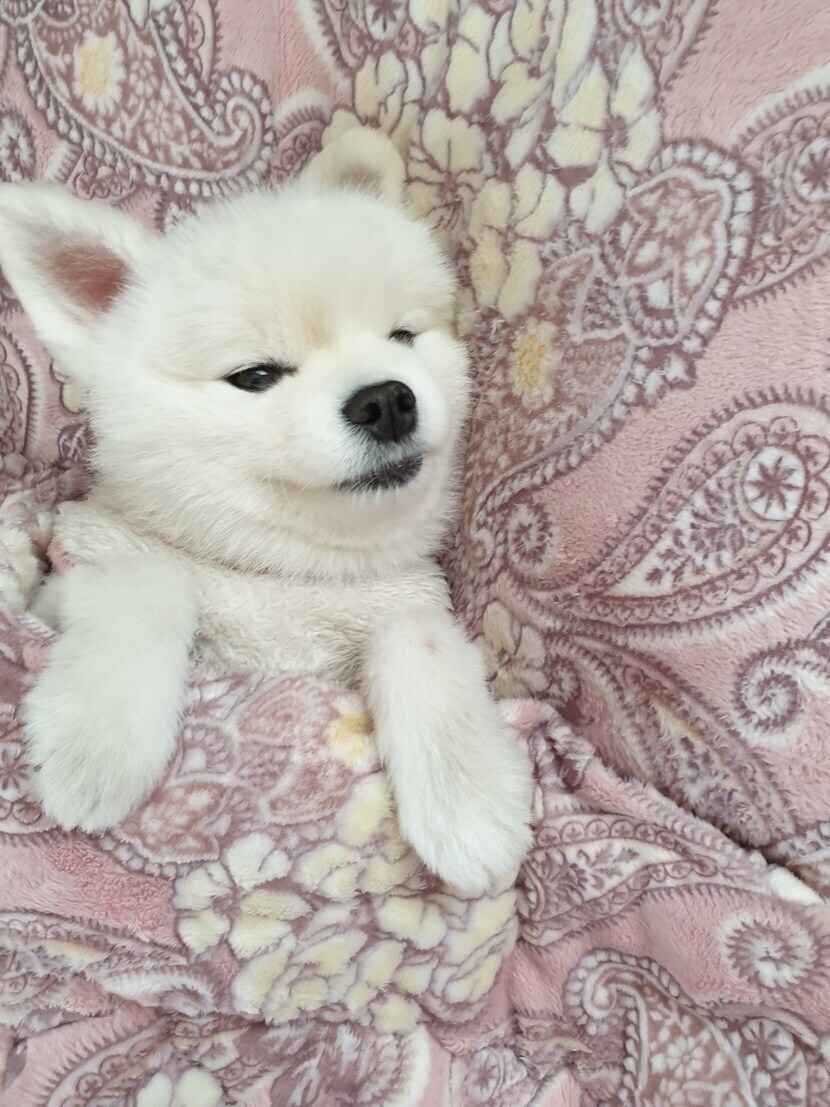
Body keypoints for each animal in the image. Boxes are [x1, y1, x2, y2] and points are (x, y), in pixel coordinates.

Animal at [0, 128, 533, 895]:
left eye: (402, 337)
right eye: (256, 376)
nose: (386, 399)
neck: (280, 575)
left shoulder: (399, 606)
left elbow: (415, 635)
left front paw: (470, 801)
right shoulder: (65, 581)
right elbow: (147, 578)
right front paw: (95, 743)